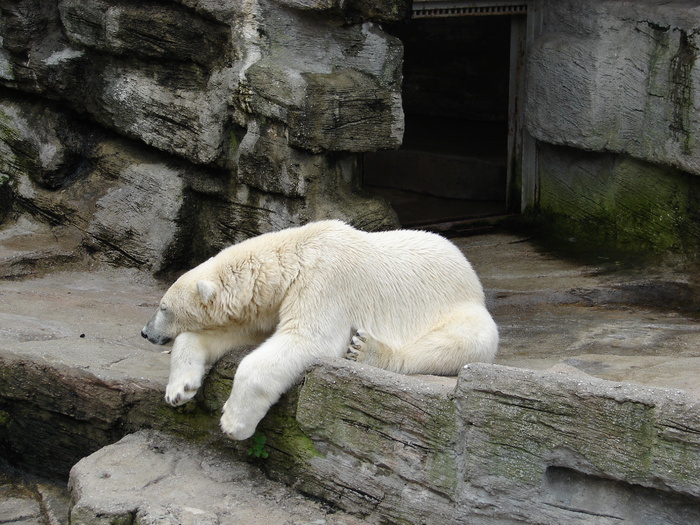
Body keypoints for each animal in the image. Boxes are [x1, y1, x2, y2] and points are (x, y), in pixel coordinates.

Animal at [141, 220, 498, 440]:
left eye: (164, 307)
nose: (145, 333)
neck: (294, 255)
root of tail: (471, 272)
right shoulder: (268, 304)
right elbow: (234, 333)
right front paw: (179, 389)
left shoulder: (325, 281)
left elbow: (306, 339)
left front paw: (233, 422)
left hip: (458, 308)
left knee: (464, 340)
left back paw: (366, 350)